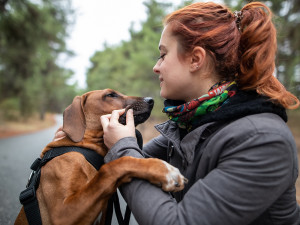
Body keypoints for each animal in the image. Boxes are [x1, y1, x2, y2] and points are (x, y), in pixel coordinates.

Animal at [14, 89, 188, 225]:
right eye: (110, 95)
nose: (150, 100)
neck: (84, 147)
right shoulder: (62, 214)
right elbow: (114, 165)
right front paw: (162, 170)